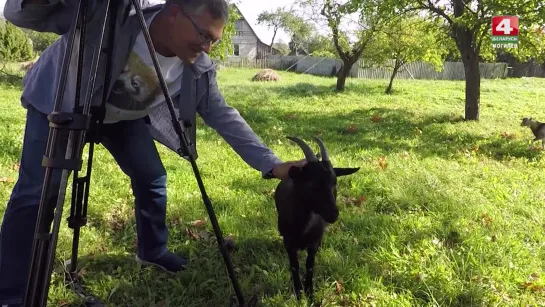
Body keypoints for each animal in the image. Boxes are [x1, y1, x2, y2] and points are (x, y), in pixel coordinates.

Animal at [274, 137, 360, 300]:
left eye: (335, 182)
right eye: (310, 182)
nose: (333, 214)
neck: (303, 227)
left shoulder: (313, 242)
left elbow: (310, 265)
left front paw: (310, 292)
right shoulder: (289, 243)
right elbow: (294, 266)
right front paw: (298, 292)